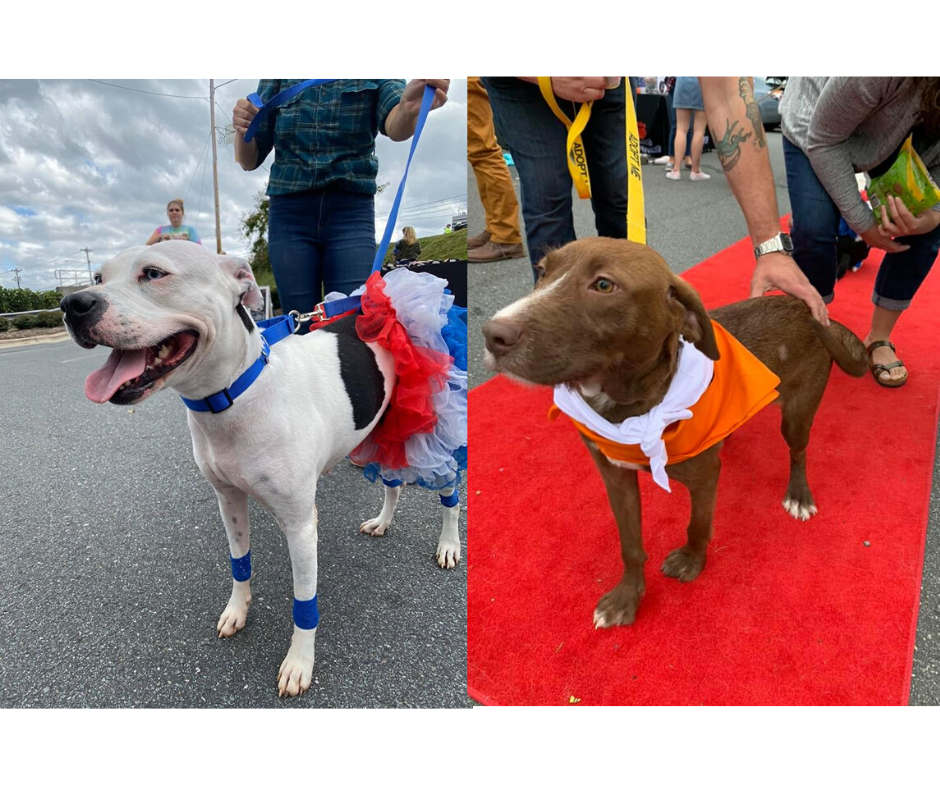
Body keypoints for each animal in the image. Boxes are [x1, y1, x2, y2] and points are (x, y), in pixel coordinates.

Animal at [484, 239, 868, 628]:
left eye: (604, 285)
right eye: (542, 271)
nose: (493, 335)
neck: (631, 407)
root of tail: (806, 309)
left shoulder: (704, 477)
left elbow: (697, 525)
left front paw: (691, 562)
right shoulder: (615, 477)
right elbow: (630, 545)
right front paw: (627, 598)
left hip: (797, 414)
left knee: (798, 451)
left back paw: (799, 494)